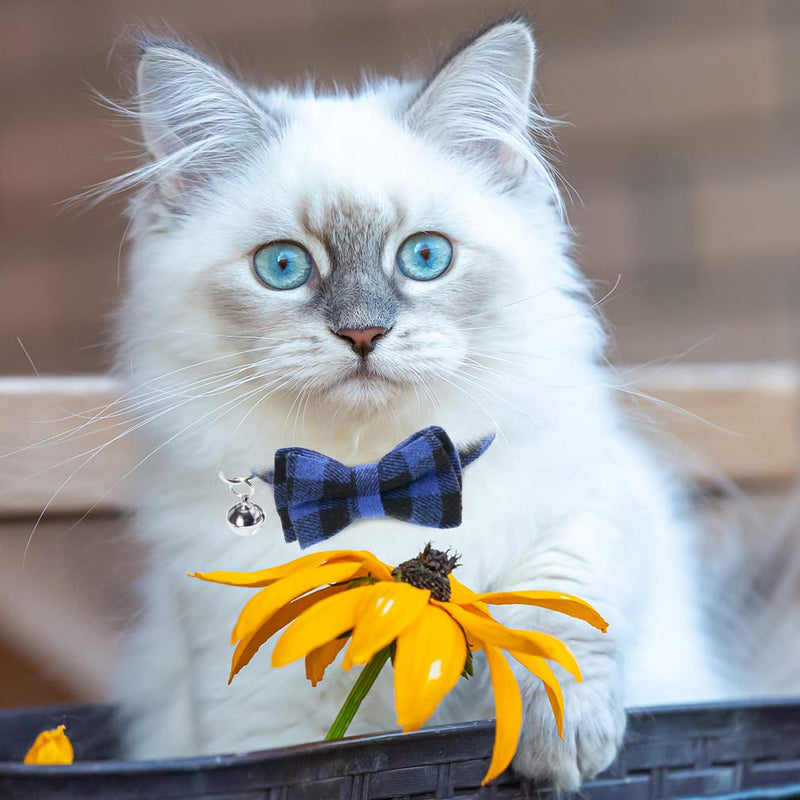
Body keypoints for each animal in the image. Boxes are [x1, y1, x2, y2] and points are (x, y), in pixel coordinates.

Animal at [109, 17, 736, 788]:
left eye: (426, 258)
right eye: (283, 267)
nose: (362, 333)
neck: (374, 477)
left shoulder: (590, 505)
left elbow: (558, 614)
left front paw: (560, 748)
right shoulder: (258, 703)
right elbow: (302, 752)